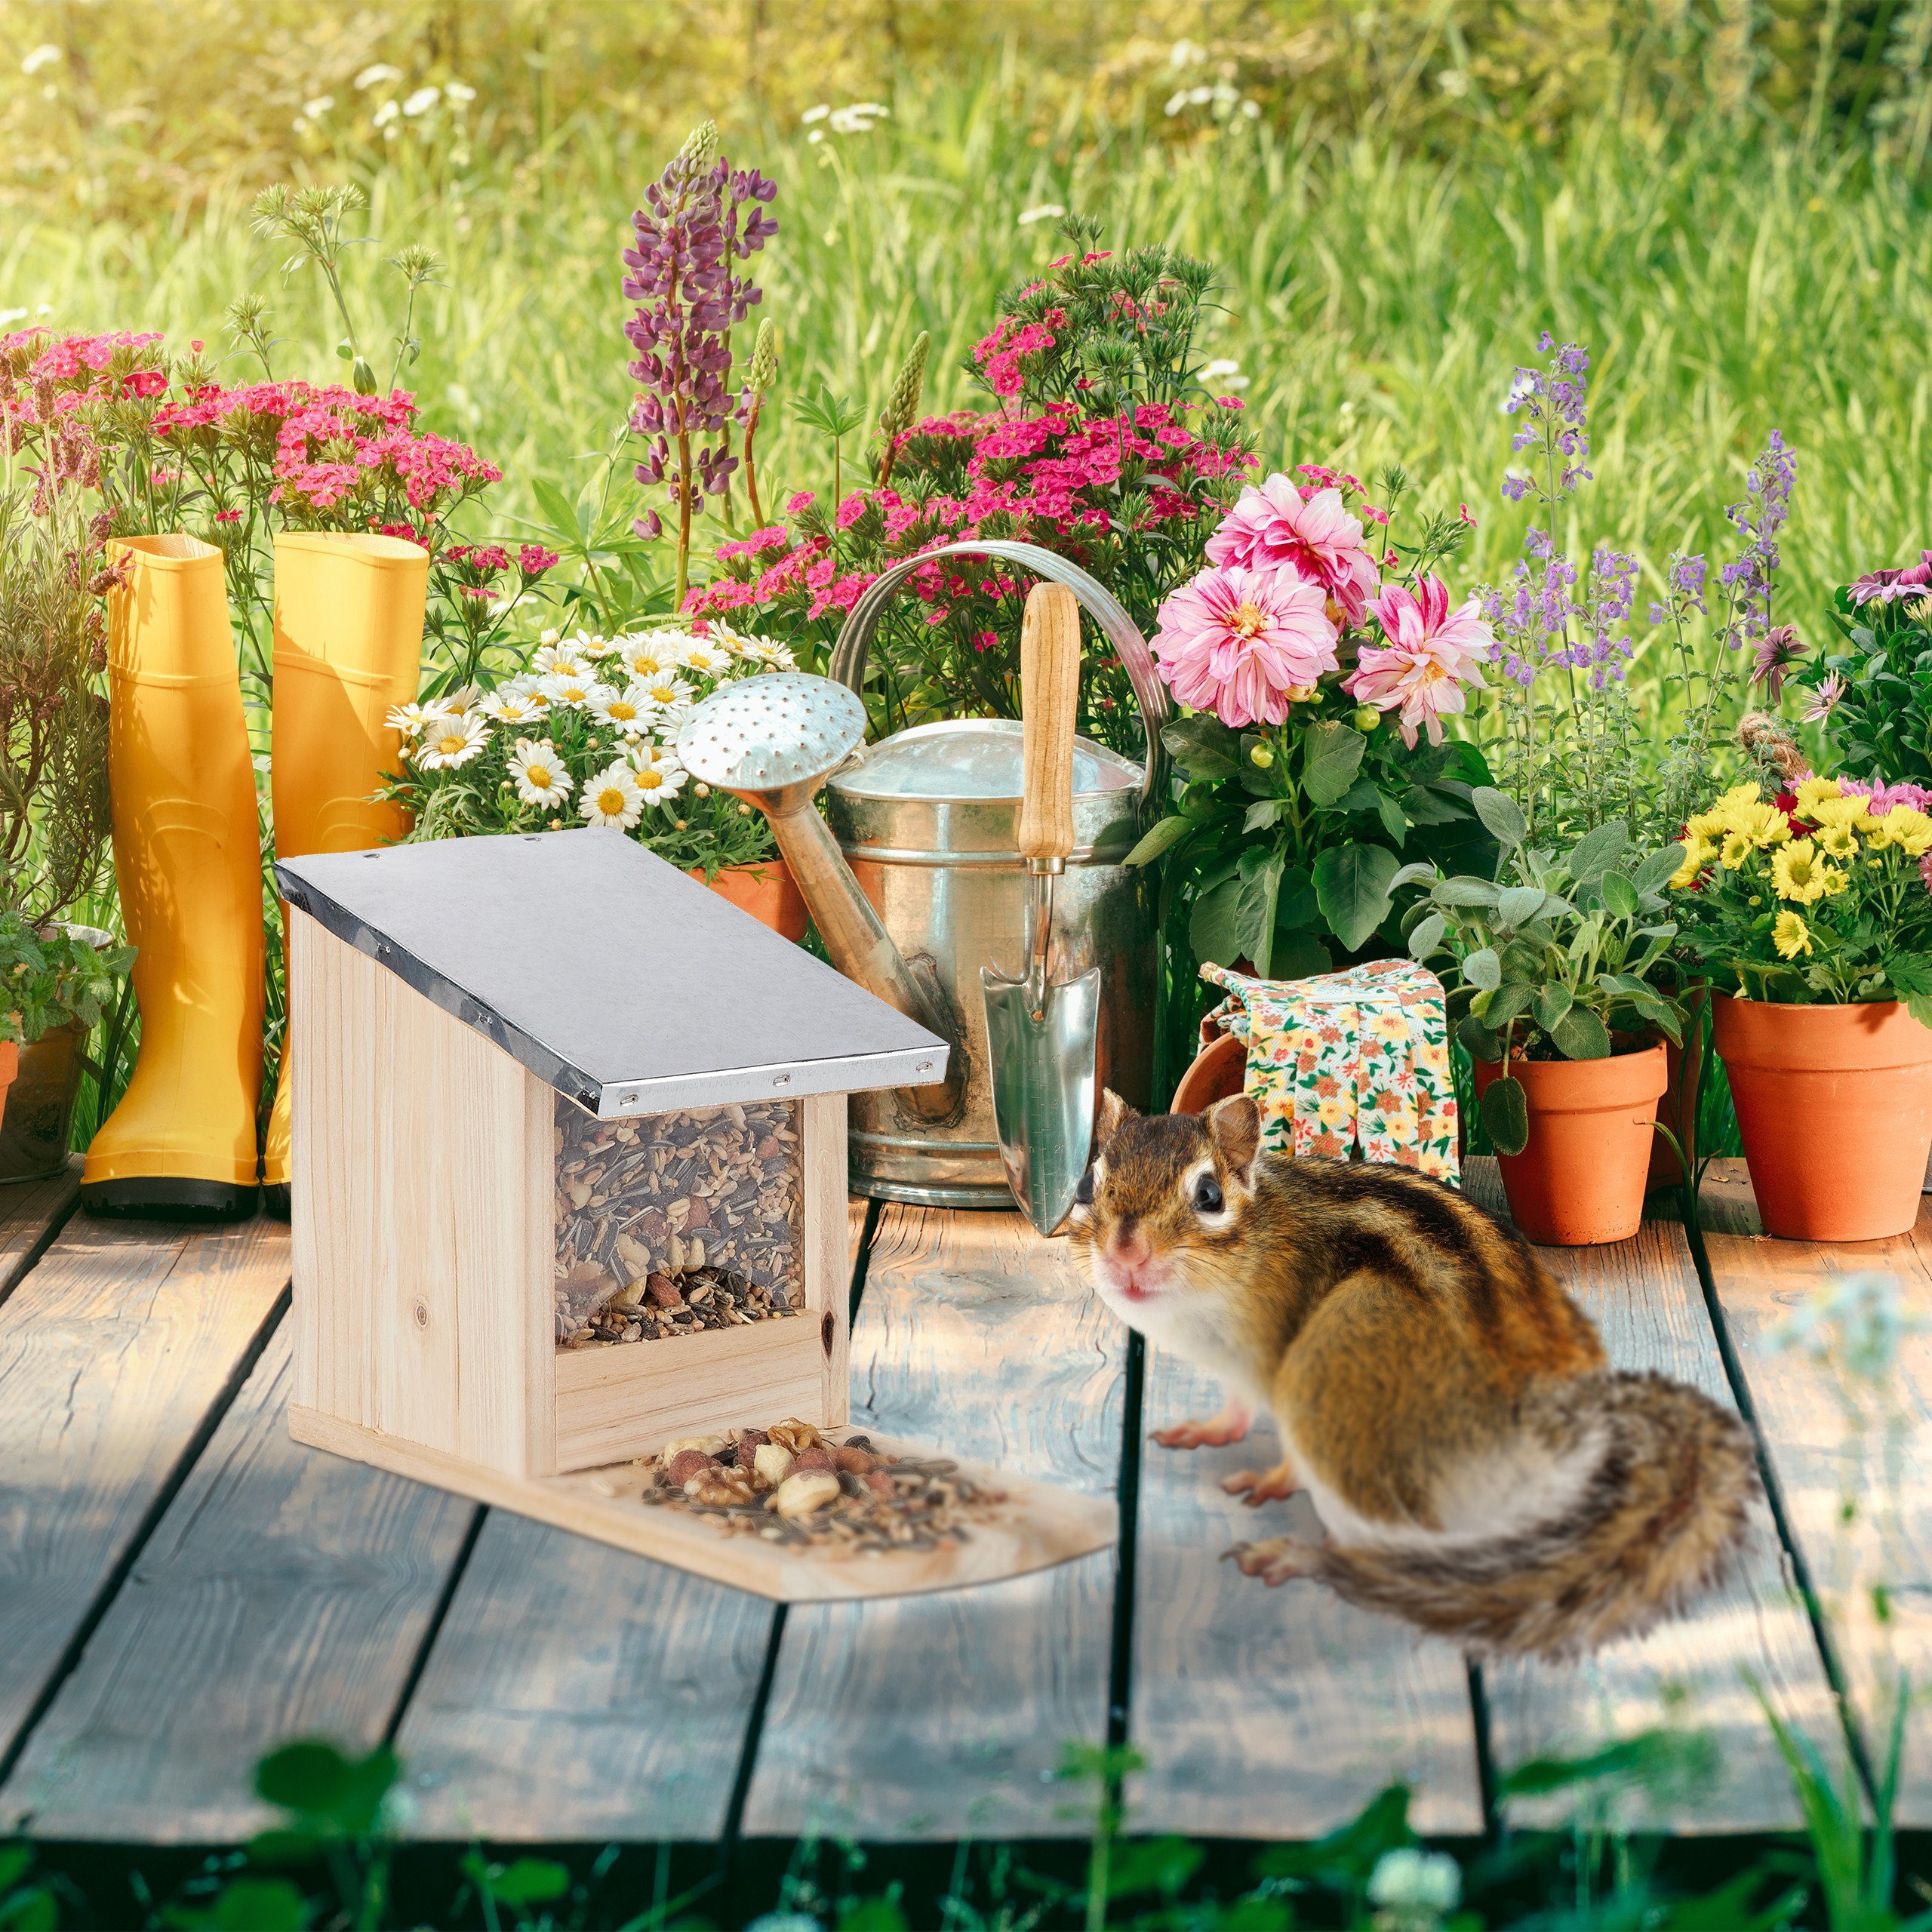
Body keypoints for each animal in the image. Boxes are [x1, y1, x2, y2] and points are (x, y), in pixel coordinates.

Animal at [1065, 1089, 1760, 1661]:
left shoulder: (1278, 1358)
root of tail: (1566, 1440)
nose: (1126, 1253)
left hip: (1334, 1380)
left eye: (1208, 1196)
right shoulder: (1241, 1371)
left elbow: (1283, 1452)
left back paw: (1298, 1556)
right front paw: (1202, 1432)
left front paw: (1271, 1482)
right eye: (1088, 1185)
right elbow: (1235, 1409)